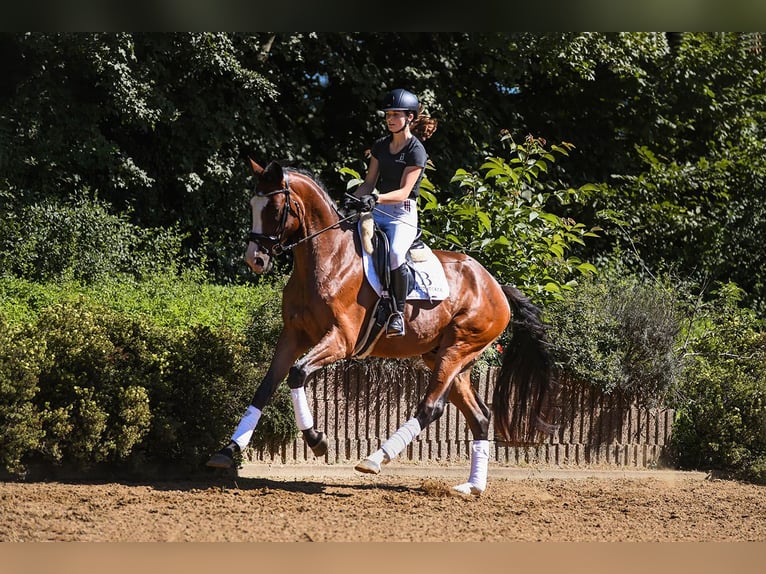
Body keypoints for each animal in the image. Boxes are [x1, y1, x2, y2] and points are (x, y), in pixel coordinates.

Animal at [207, 160, 560, 498]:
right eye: (252, 205)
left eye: (275, 209)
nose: (254, 259)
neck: (327, 259)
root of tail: (496, 285)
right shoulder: (293, 335)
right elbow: (266, 385)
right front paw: (229, 449)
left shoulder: (341, 339)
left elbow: (297, 373)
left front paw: (316, 439)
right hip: (446, 357)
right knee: (480, 416)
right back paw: (472, 487)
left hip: (458, 348)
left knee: (431, 407)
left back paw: (376, 459)